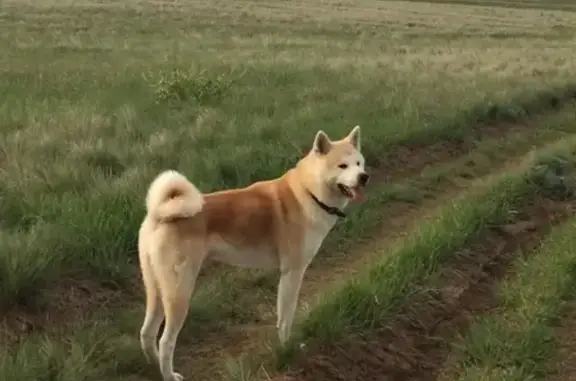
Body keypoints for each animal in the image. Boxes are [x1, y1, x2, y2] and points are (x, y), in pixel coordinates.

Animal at [140, 125, 368, 380]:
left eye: (359, 163)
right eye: (342, 166)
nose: (364, 177)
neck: (309, 193)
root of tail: (158, 213)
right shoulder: (292, 273)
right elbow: (285, 319)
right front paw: (287, 349)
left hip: (156, 289)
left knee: (147, 333)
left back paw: (153, 366)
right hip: (179, 293)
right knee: (165, 342)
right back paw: (169, 375)